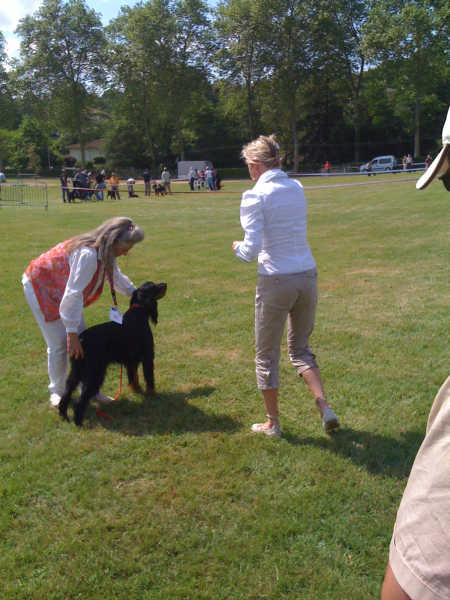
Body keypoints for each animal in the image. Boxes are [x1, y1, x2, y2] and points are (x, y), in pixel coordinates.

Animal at [58, 282, 167, 426]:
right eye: (154, 287)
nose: (165, 284)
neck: (139, 313)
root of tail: (81, 339)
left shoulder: (131, 361)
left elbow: (134, 377)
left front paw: (137, 390)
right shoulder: (147, 356)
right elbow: (149, 377)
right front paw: (153, 394)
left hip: (77, 371)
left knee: (67, 391)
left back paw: (64, 415)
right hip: (95, 373)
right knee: (81, 399)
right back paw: (79, 422)